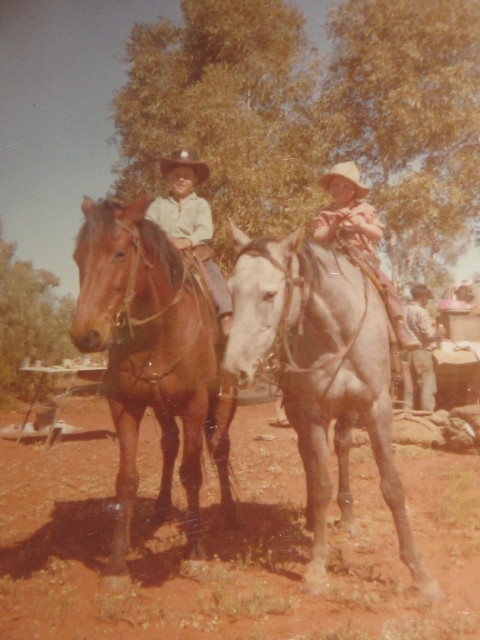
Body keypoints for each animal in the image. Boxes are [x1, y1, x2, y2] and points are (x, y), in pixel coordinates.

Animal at [70, 195, 237, 592]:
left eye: (119, 253)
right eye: (77, 257)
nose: (86, 334)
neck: (159, 331)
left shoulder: (195, 405)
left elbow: (191, 473)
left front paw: (195, 551)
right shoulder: (124, 405)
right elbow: (127, 479)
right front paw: (117, 565)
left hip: (223, 401)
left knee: (219, 447)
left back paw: (229, 512)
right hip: (161, 408)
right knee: (170, 445)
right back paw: (161, 511)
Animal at [224, 224, 442, 600]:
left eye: (269, 294)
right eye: (232, 292)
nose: (233, 369)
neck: (338, 332)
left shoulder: (376, 408)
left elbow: (392, 487)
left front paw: (420, 574)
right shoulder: (311, 413)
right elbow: (321, 482)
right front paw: (317, 567)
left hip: (349, 412)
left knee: (341, 446)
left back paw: (348, 517)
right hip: (299, 411)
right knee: (309, 460)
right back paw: (314, 518)